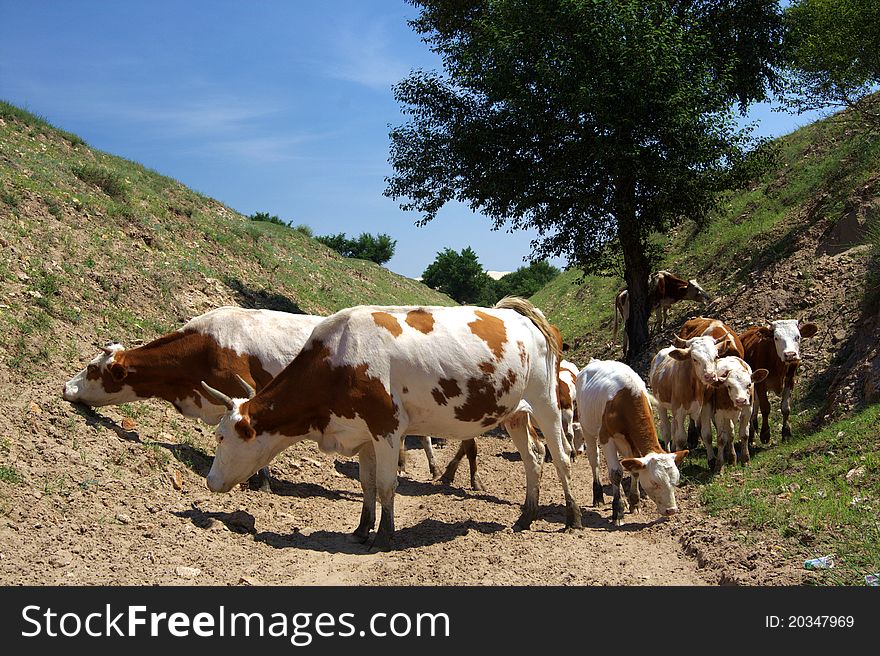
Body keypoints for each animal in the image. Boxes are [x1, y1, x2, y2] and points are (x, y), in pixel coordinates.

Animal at [202, 298, 580, 548]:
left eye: (221, 437)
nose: (210, 481)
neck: (338, 361)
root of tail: (521, 316)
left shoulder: (386, 428)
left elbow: (386, 485)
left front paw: (384, 534)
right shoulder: (363, 433)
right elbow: (367, 484)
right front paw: (361, 528)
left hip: (545, 402)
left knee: (561, 456)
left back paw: (572, 519)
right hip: (514, 411)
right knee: (534, 456)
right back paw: (525, 517)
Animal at [576, 356, 692, 524]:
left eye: (675, 482)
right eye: (655, 483)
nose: (671, 510)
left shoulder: (633, 444)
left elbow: (635, 470)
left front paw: (634, 502)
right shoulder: (606, 437)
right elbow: (616, 473)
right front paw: (618, 511)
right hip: (588, 429)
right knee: (594, 460)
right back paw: (598, 496)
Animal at [648, 336, 724, 468]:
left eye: (716, 356)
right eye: (694, 359)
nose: (710, 376)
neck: (696, 386)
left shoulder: (706, 406)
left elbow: (707, 435)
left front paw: (712, 460)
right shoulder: (679, 410)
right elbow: (681, 438)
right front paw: (678, 461)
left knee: (673, 426)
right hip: (660, 404)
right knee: (666, 429)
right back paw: (668, 450)